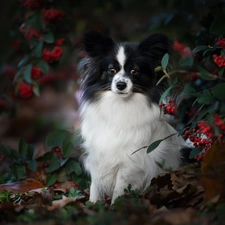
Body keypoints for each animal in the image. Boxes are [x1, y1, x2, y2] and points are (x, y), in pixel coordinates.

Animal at [79, 30, 188, 204]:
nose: (121, 85)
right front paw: (92, 205)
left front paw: (115, 206)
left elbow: (119, 189)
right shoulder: (98, 154)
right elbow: (95, 186)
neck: (120, 106)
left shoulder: (130, 162)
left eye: (134, 71)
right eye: (112, 70)